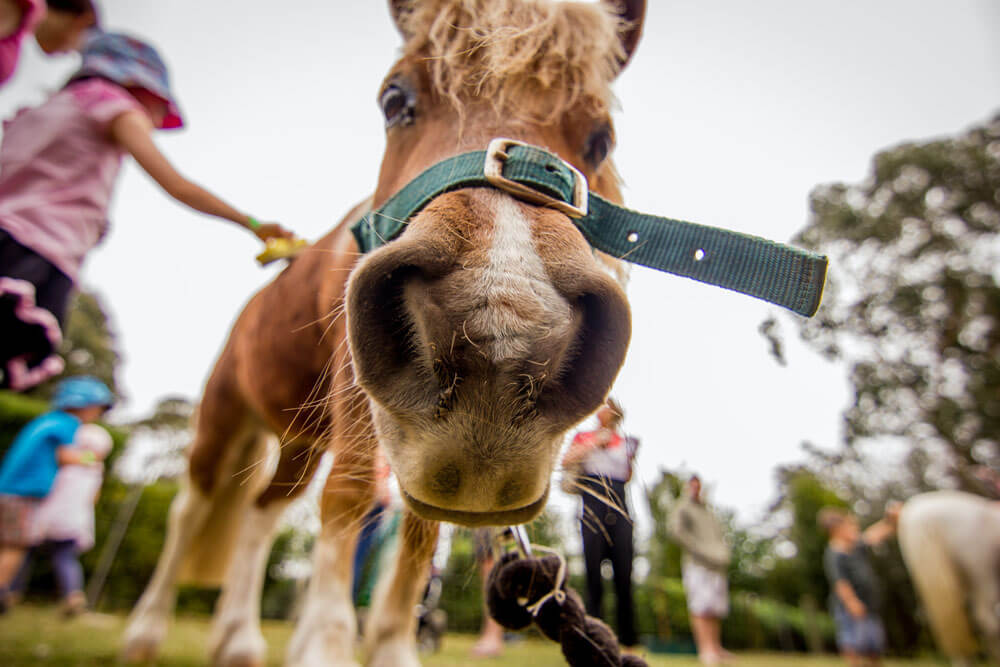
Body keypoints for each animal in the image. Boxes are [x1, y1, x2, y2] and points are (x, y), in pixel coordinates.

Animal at [121, 2, 644, 664]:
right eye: (395, 100)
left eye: (601, 138)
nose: (499, 328)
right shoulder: (354, 393)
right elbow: (346, 496)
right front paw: (324, 646)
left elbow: (420, 534)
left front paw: (390, 643)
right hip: (223, 414)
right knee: (190, 510)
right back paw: (145, 632)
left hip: (298, 440)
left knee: (262, 514)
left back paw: (238, 640)